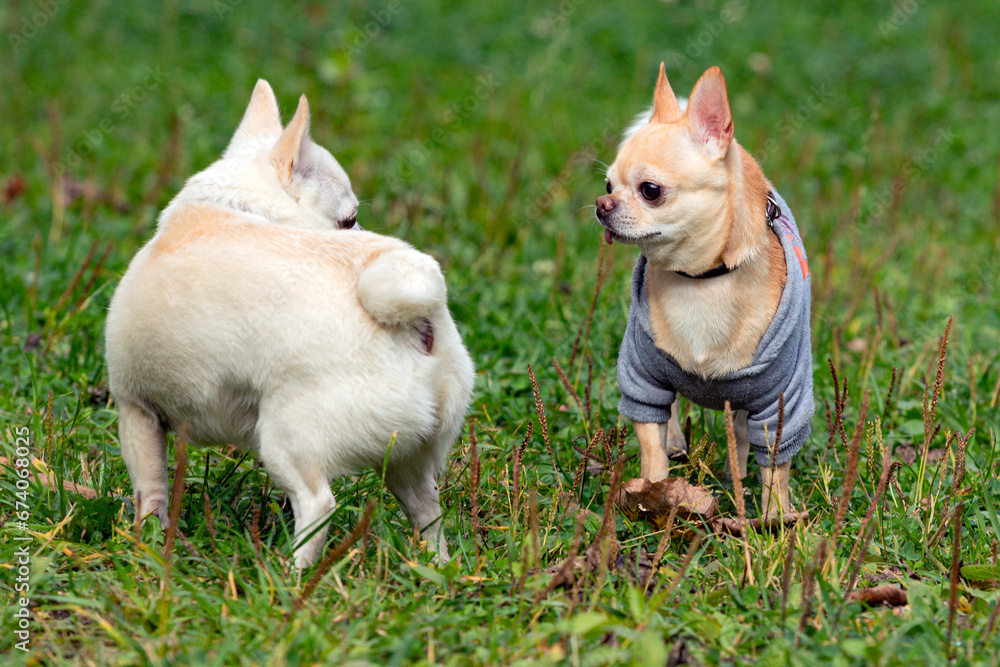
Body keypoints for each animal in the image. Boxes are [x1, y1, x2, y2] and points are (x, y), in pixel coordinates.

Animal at [105, 79, 476, 568]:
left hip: (284, 441)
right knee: (428, 512)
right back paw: (438, 568)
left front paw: (147, 550)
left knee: (318, 505)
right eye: (350, 220)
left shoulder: (137, 412)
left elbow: (150, 496)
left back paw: (287, 574)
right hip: (408, 460)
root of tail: (416, 316)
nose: (361, 230)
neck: (238, 205)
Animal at [592, 65, 812, 516]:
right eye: (607, 184)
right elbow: (651, 446)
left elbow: (775, 466)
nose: (602, 205)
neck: (701, 281)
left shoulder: (781, 403)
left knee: (743, 433)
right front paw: (654, 494)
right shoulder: (642, 377)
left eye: (650, 190)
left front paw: (776, 519)